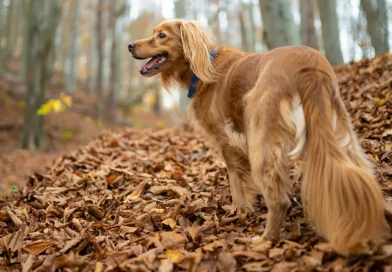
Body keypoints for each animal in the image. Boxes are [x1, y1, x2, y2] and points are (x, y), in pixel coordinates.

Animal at [129, 19, 388, 255]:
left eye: (161, 35)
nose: (130, 45)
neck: (206, 68)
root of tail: (309, 65)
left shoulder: (226, 139)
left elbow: (234, 178)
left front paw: (241, 210)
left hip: (261, 131)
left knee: (279, 198)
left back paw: (266, 238)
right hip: (339, 128)